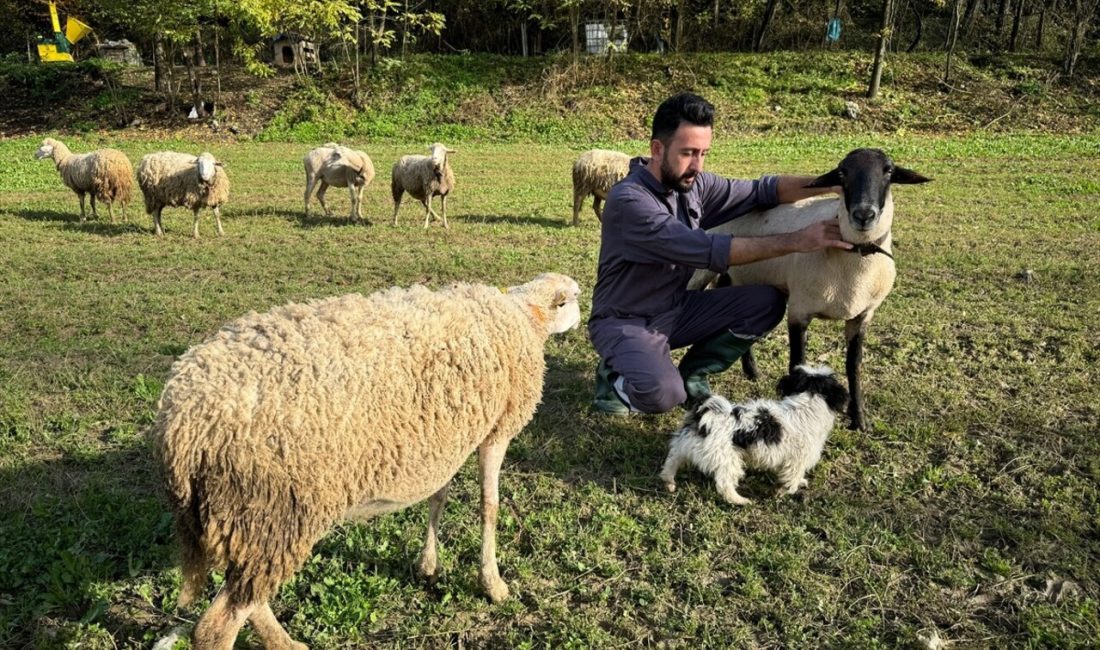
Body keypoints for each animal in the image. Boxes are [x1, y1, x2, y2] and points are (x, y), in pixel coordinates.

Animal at [157, 271, 585, 646]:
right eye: (570, 299)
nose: (584, 315)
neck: (520, 314)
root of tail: (179, 428)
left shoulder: (446, 439)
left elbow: (438, 496)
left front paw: (428, 565)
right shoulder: (497, 431)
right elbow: (489, 506)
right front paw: (493, 584)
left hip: (249, 524)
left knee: (250, 595)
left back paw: (287, 644)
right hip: (272, 511)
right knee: (215, 628)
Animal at [660, 362, 849, 505]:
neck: (808, 401)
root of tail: (705, 417)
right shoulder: (797, 460)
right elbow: (792, 478)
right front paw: (785, 491)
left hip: (684, 445)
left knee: (672, 460)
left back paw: (668, 481)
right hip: (728, 459)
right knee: (724, 484)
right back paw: (740, 500)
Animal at [686, 148, 928, 433]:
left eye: (888, 171)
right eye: (843, 173)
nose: (863, 215)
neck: (854, 263)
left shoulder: (862, 316)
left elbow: (854, 366)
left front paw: (859, 419)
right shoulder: (799, 311)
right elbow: (797, 364)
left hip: (739, 277)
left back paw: (751, 371)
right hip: (702, 272)